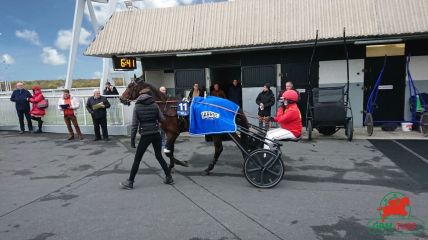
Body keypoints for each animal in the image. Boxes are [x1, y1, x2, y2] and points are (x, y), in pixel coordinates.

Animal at [120, 78, 251, 175]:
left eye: (130, 86)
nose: (121, 99)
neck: (167, 107)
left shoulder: (173, 133)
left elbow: (168, 152)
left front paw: (181, 163)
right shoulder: (170, 133)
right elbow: (170, 151)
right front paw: (171, 167)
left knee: (237, 145)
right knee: (219, 148)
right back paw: (209, 168)